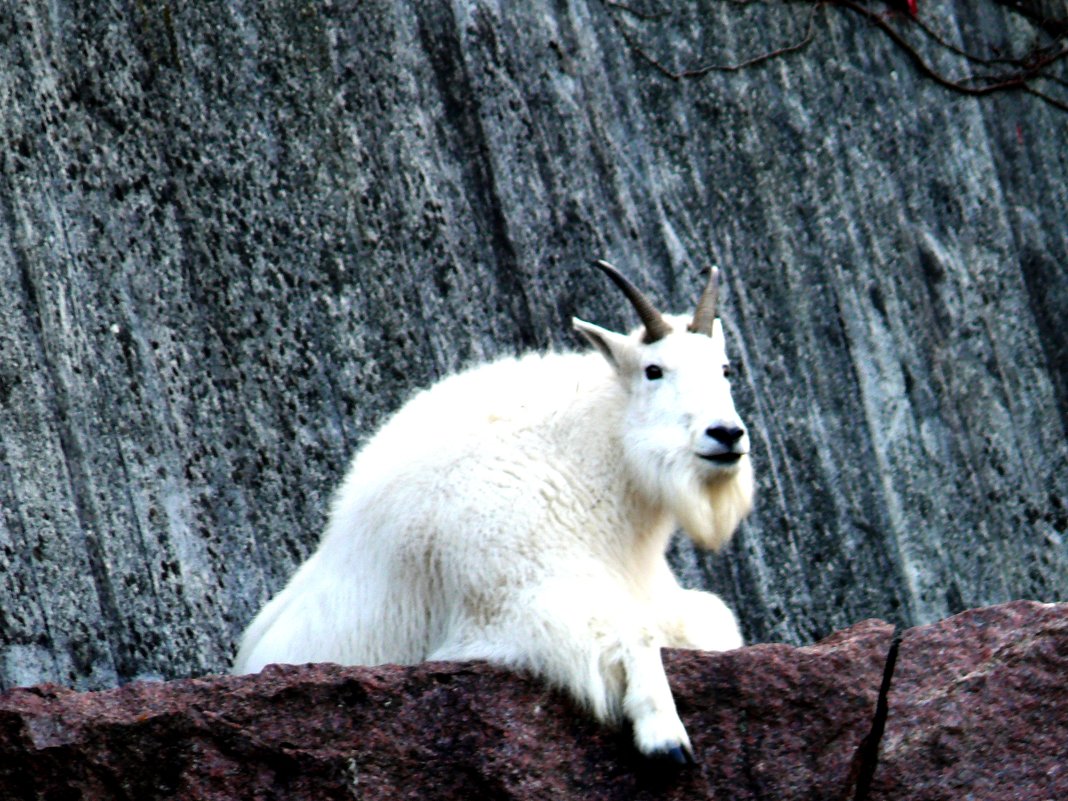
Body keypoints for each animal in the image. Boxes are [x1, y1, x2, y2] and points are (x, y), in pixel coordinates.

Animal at [236, 261, 751, 764]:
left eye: (724, 369)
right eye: (653, 370)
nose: (726, 434)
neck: (584, 470)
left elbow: (713, 617)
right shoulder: (511, 606)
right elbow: (634, 630)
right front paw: (665, 736)